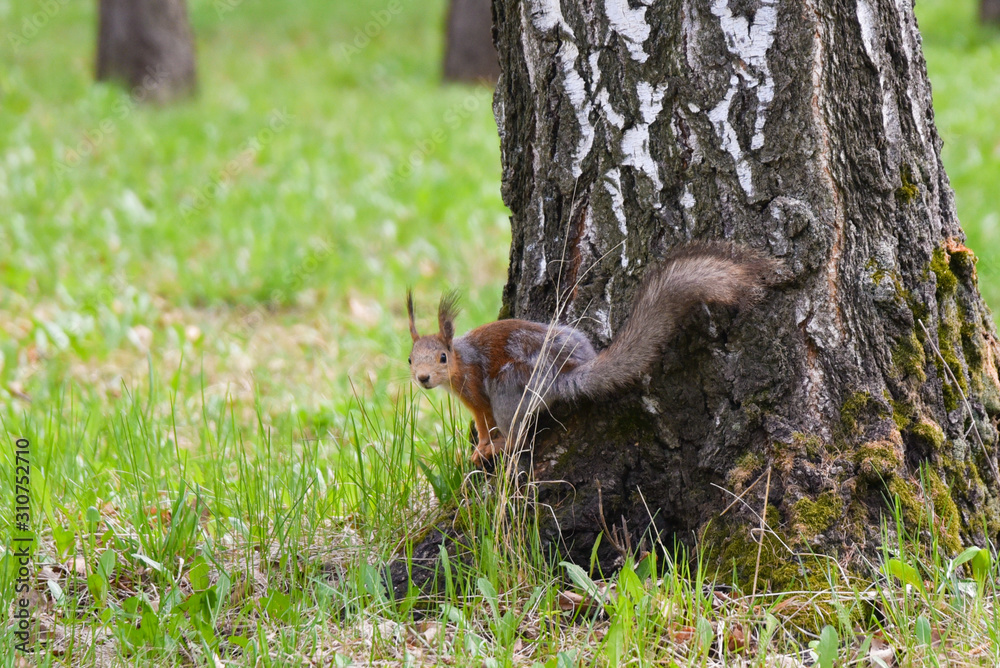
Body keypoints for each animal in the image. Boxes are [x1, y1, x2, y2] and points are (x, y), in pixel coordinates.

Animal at [407, 242, 779, 465]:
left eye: (442, 358)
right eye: (410, 359)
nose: (422, 378)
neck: (460, 361)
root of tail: (563, 374)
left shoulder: (476, 391)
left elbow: (483, 424)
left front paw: (480, 448)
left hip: (508, 388)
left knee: (516, 435)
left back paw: (500, 447)